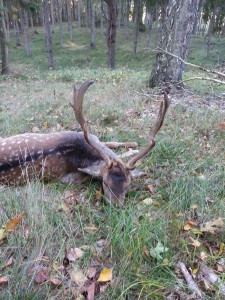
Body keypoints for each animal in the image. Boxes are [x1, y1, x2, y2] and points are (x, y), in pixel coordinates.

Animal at [0, 80, 169, 206]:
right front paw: (131, 149)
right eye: (105, 183)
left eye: (128, 185)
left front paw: (133, 144)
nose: (116, 206)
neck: (83, 148)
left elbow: (113, 144)